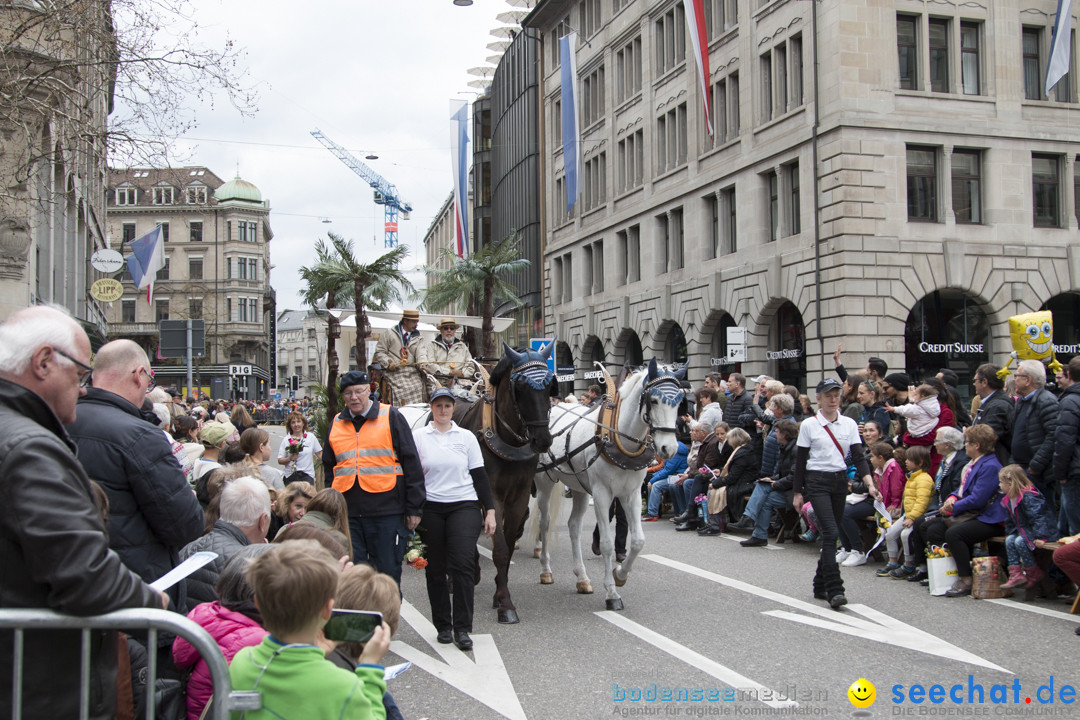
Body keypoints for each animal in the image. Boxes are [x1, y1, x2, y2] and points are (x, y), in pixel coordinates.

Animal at [533, 358, 682, 608]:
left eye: (680, 401)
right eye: (653, 400)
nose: (668, 449)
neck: (617, 436)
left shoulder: (631, 494)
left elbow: (638, 541)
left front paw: (620, 575)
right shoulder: (602, 494)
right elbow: (606, 544)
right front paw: (612, 593)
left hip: (579, 488)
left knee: (574, 526)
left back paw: (582, 578)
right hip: (544, 481)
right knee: (545, 523)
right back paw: (545, 569)